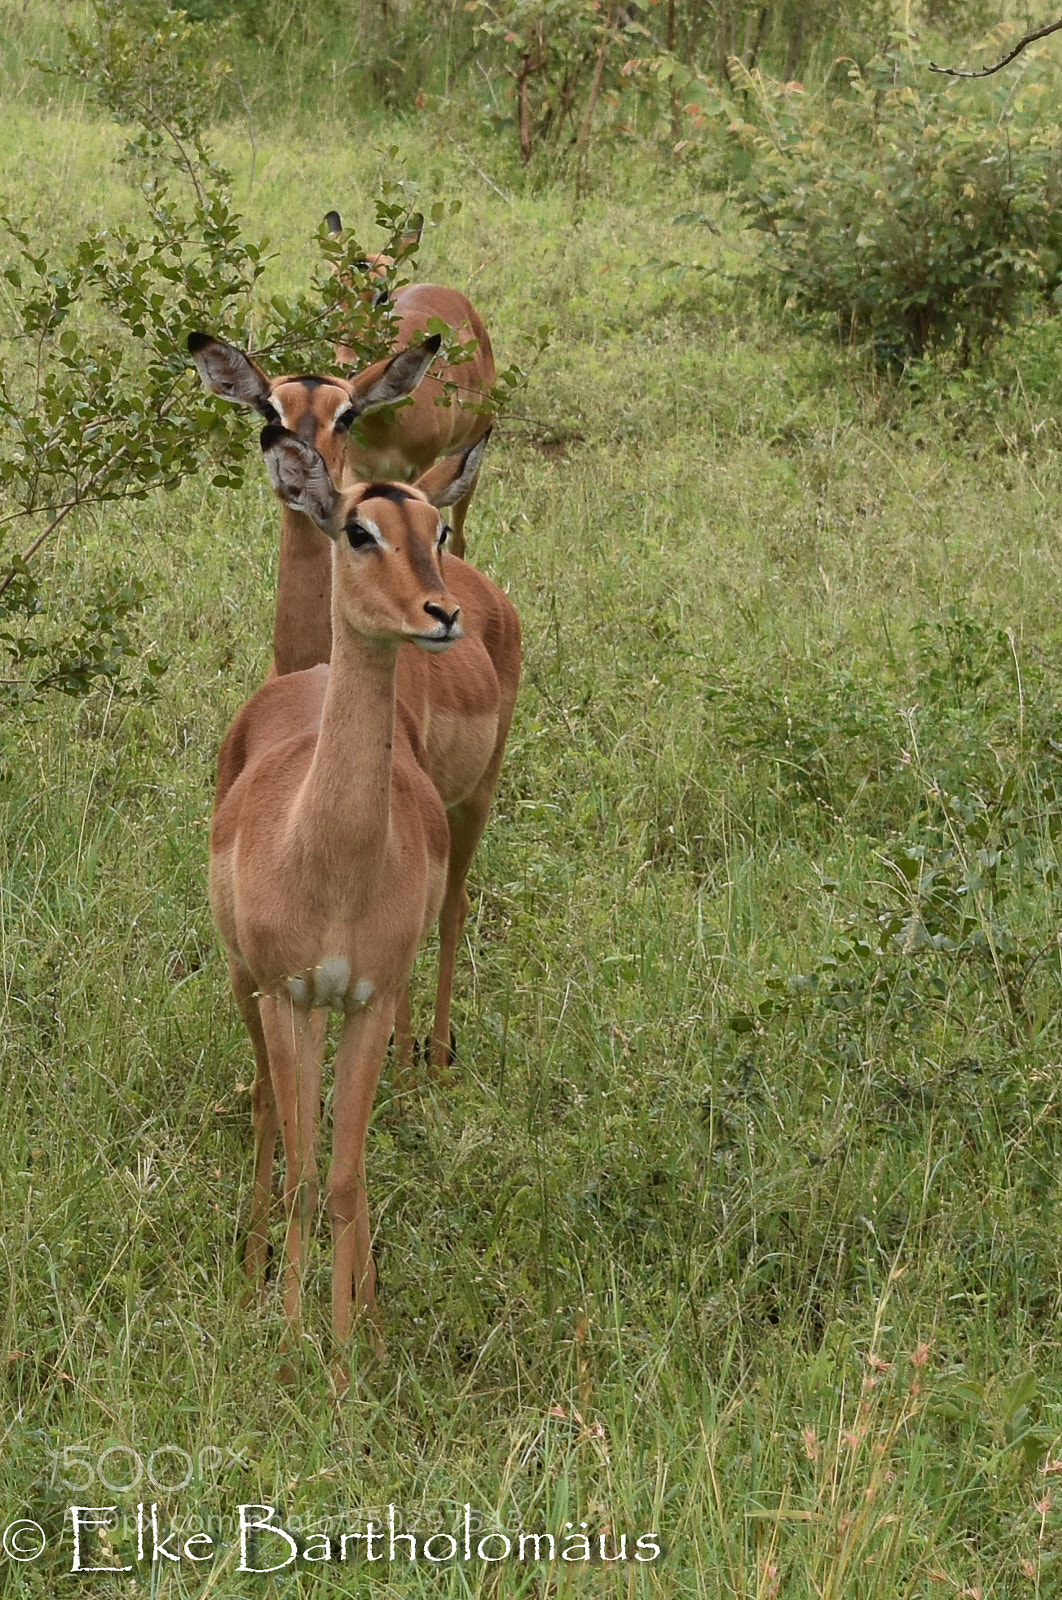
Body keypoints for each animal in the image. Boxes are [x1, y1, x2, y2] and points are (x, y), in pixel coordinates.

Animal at [189, 332, 520, 1074]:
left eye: (347, 414)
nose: (299, 472)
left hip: (476, 796)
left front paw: (401, 1054)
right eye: (270, 405)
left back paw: (435, 1053)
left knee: (453, 906)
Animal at [212, 426, 501, 1364]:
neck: (331, 861)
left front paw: (348, 1350)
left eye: (436, 531)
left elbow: (344, 1175)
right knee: (269, 1108)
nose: (440, 614)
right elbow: (305, 1175)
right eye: (359, 531)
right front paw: (292, 1338)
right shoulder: (291, 996)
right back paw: (255, 1262)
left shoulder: (367, 1001)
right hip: (249, 987)